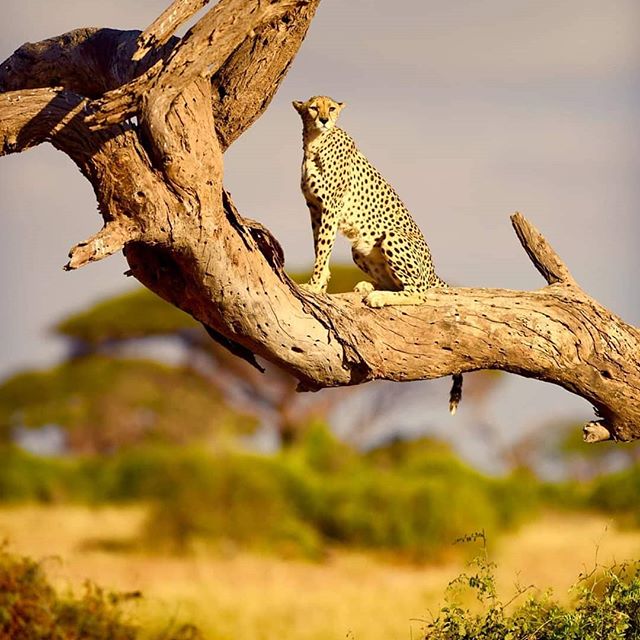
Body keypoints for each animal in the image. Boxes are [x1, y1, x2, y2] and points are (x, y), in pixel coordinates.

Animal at [292, 95, 462, 416]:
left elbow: (323, 247)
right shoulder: (314, 208)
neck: (316, 142)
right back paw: (368, 287)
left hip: (392, 238)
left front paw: (314, 285)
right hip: (359, 248)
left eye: (332, 109)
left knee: (419, 292)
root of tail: (433, 270)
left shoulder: (330, 208)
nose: (323, 119)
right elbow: (319, 246)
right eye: (313, 107)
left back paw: (379, 297)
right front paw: (321, 282)